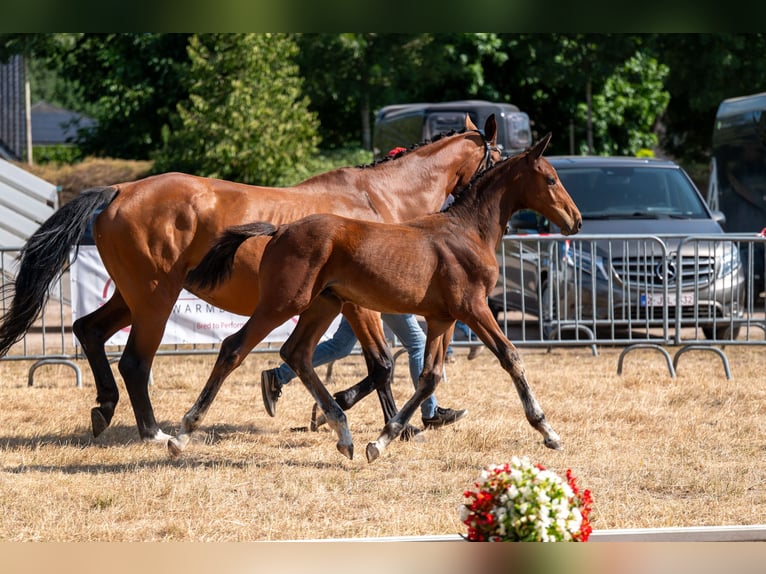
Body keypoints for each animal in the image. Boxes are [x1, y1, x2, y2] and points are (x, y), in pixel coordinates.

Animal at [0, 115, 501, 443]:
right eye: (499, 156)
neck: (377, 199)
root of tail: (120, 189)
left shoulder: (352, 303)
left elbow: (381, 361)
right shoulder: (361, 304)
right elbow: (382, 364)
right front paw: (384, 424)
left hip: (130, 296)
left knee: (88, 329)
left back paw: (104, 409)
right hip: (155, 299)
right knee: (134, 362)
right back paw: (156, 433)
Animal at [167, 132, 582, 462]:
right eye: (550, 178)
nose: (575, 220)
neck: (466, 232)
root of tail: (280, 229)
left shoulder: (443, 318)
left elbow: (429, 376)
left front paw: (384, 439)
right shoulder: (474, 308)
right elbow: (510, 357)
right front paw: (547, 430)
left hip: (324, 305)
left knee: (296, 353)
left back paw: (342, 431)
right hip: (283, 303)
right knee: (234, 347)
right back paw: (182, 433)